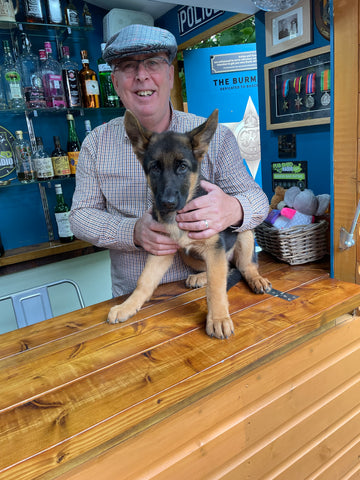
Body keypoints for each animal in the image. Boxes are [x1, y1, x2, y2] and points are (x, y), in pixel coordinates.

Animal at [108, 110, 272, 340]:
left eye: (183, 167)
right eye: (154, 168)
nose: (167, 203)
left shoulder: (214, 248)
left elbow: (216, 288)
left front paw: (218, 318)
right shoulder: (162, 250)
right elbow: (144, 280)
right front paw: (127, 306)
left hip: (244, 233)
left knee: (243, 266)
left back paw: (256, 279)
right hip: (189, 254)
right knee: (226, 267)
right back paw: (200, 277)